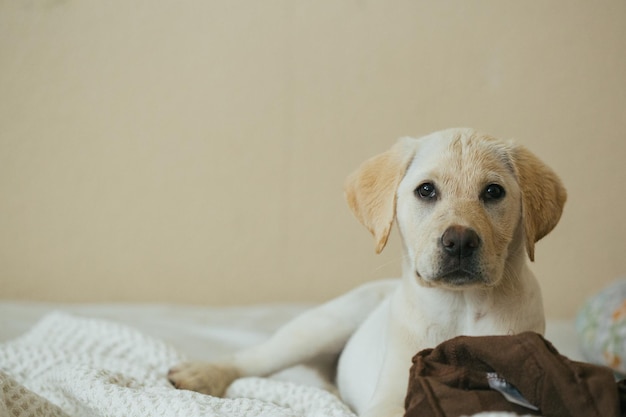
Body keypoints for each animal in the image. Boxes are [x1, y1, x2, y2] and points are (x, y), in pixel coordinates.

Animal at [167, 127, 564, 416]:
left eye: (493, 192)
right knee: (251, 359)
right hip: (319, 327)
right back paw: (200, 373)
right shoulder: (392, 394)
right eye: (426, 191)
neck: (460, 306)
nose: (461, 241)